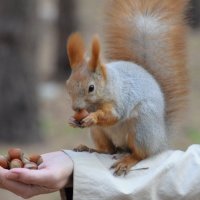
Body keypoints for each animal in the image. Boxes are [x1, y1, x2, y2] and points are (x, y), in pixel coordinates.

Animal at [65, 0, 189, 175]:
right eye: (67, 85)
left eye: (91, 88)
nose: (75, 108)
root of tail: (161, 140)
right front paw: (72, 120)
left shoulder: (120, 101)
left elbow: (112, 115)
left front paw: (93, 117)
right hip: (99, 132)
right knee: (110, 150)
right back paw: (89, 149)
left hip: (142, 128)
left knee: (141, 154)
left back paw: (127, 161)